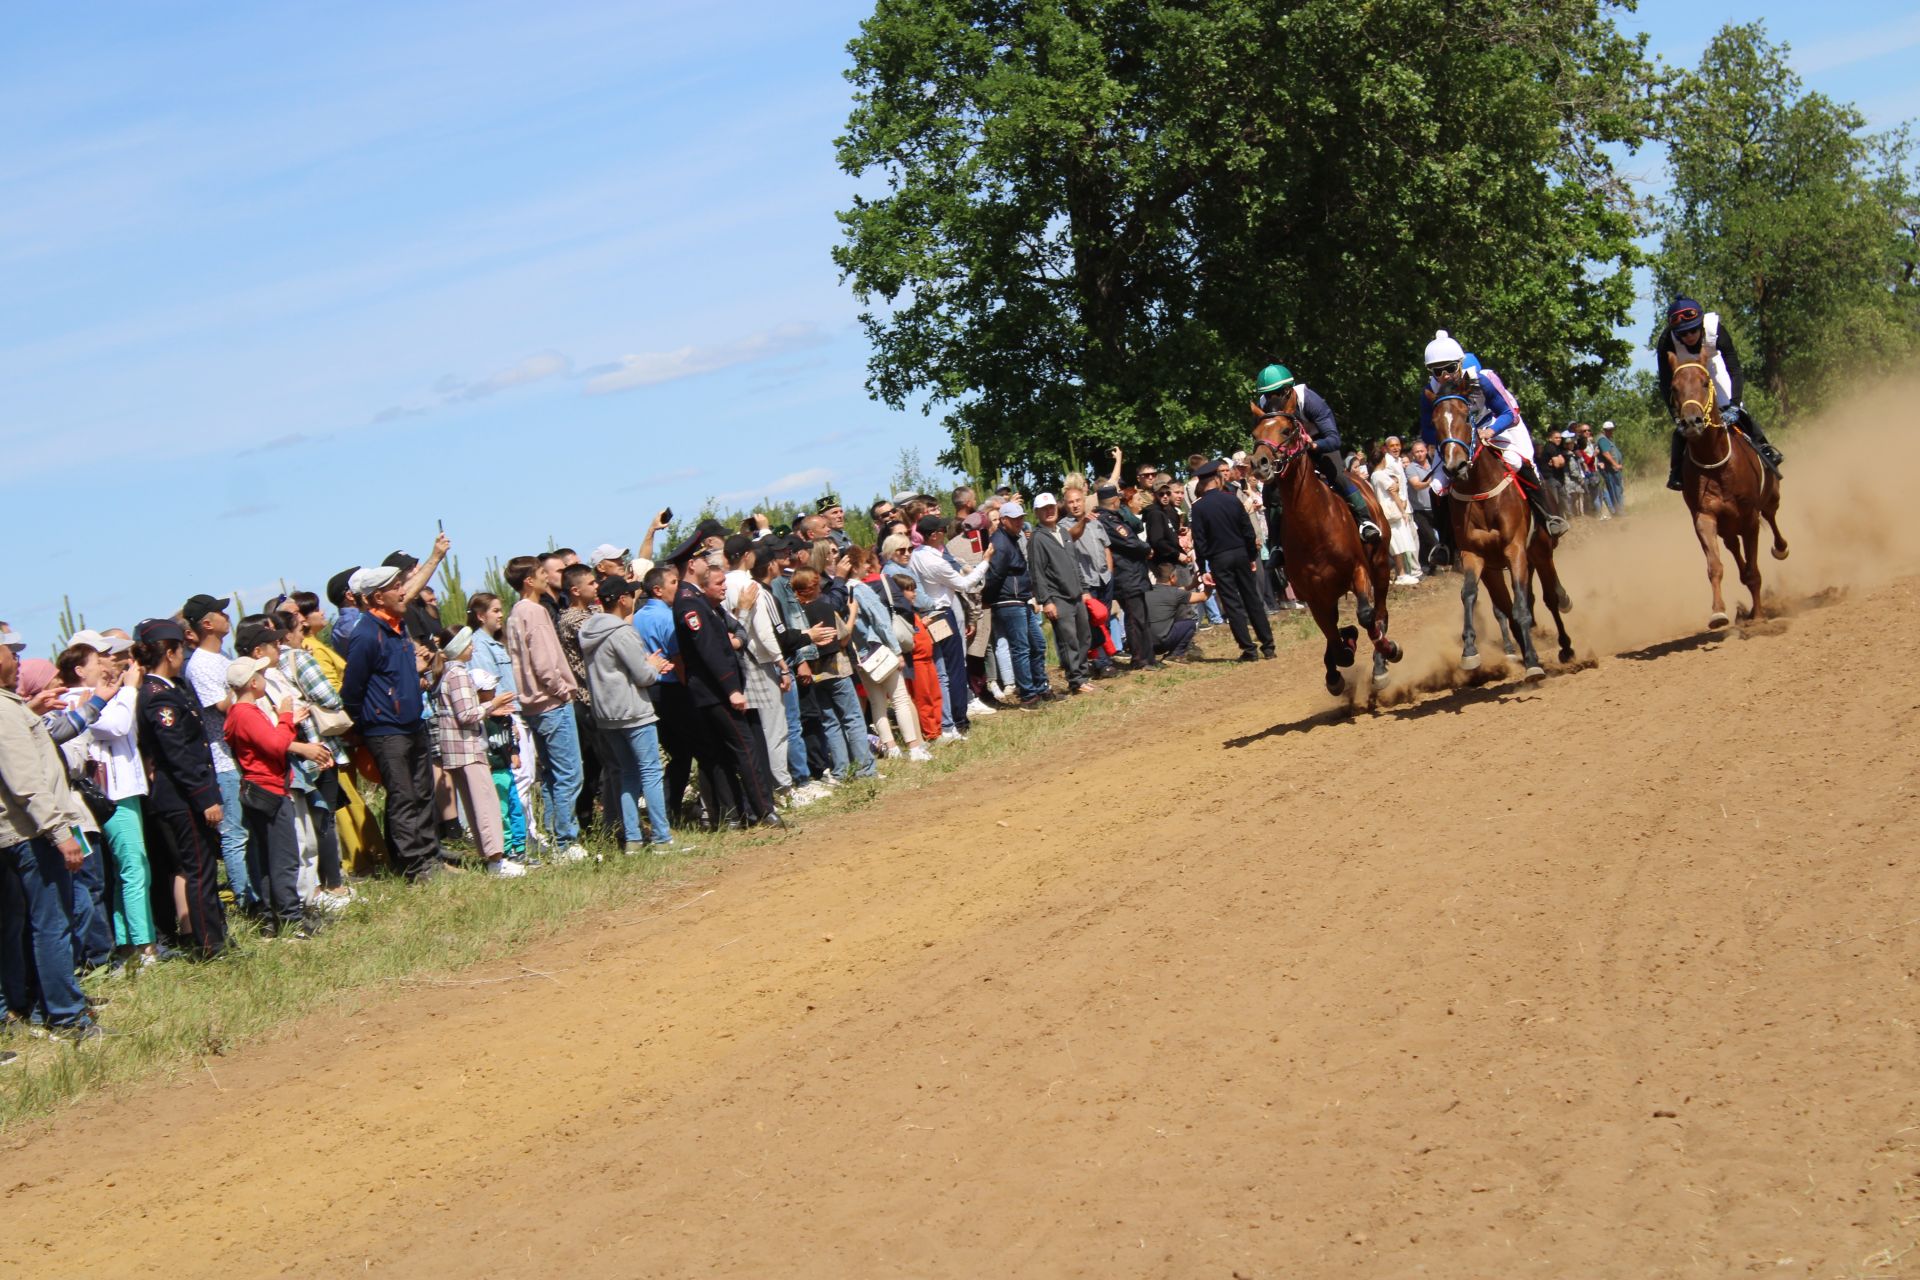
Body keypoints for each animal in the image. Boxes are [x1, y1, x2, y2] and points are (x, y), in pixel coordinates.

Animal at [1251, 404, 1405, 694]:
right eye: (1255, 433)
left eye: (1286, 430)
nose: (1259, 463)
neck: (1312, 525)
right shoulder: (1314, 595)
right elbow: (1335, 640)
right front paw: (1339, 660)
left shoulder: (1358, 571)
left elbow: (1366, 617)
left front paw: (1387, 649)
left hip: (1379, 566)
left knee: (1380, 613)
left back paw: (1381, 662)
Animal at [1436, 397, 1566, 679]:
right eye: (1435, 422)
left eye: (1466, 418)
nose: (1455, 467)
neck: (1480, 492)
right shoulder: (1476, 557)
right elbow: (1471, 595)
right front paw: (1470, 651)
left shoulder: (1515, 549)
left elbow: (1520, 606)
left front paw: (1532, 661)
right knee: (1512, 604)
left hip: (1540, 551)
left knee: (1550, 597)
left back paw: (1566, 644)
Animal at [1666, 353, 1781, 629]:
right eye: (1674, 388)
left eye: (1705, 382)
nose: (1691, 422)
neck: (1716, 461)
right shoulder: (1705, 517)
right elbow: (1715, 566)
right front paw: (1718, 612)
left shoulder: (1749, 518)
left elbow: (1754, 570)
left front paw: (1758, 616)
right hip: (1728, 526)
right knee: (1733, 546)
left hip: (1770, 497)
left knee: (1771, 517)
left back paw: (1781, 548)